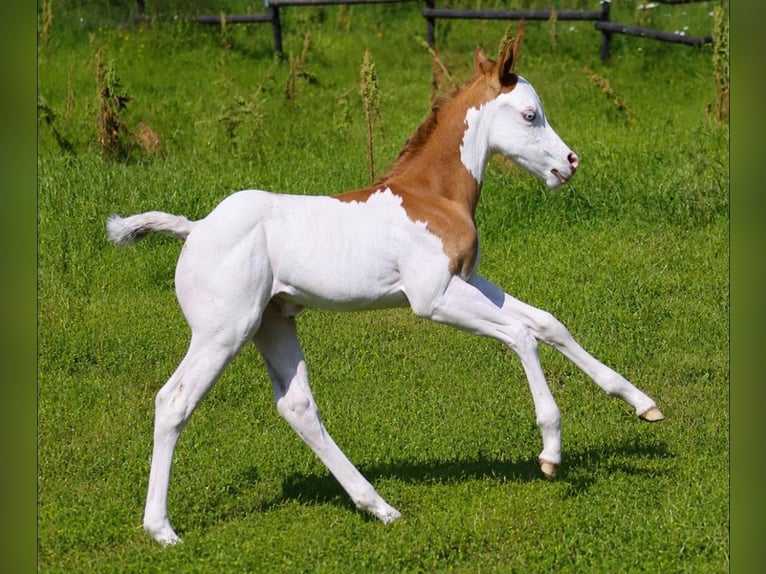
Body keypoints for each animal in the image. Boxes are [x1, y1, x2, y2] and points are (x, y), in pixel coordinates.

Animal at [107, 35, 664, 545]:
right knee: (174, 401)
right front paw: (550, 451)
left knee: (298, 407)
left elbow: (547, 322)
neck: (431, 195)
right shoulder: (433, 298)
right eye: (530, 115)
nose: (569, 163)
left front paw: (642, 403)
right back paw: (162, 530)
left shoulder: (466, 280)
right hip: (225, 330)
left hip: (272, 322)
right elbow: (521, 336)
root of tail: (195, 229)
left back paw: (379, 506)